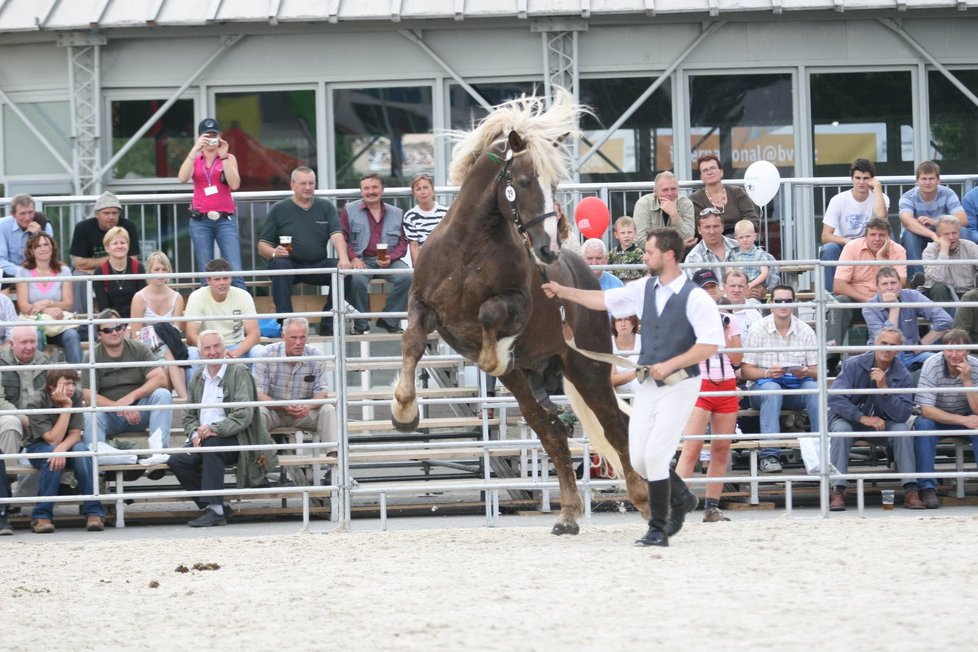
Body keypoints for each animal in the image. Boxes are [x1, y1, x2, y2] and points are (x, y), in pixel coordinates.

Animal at [388, 90, 648, 536]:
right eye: (523, 182)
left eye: (554, 184)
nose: (547, 250)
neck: (468, 247)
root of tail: (588, 275)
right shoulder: (422, 306)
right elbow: (411, 343)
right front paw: (404, 410)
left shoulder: (517, 305)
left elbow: (491, 314)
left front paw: (493, 354)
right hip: (527, 383)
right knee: (554, 433)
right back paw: (567, 514)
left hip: (587, 368)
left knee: (615, 424)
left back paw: (644, 499)